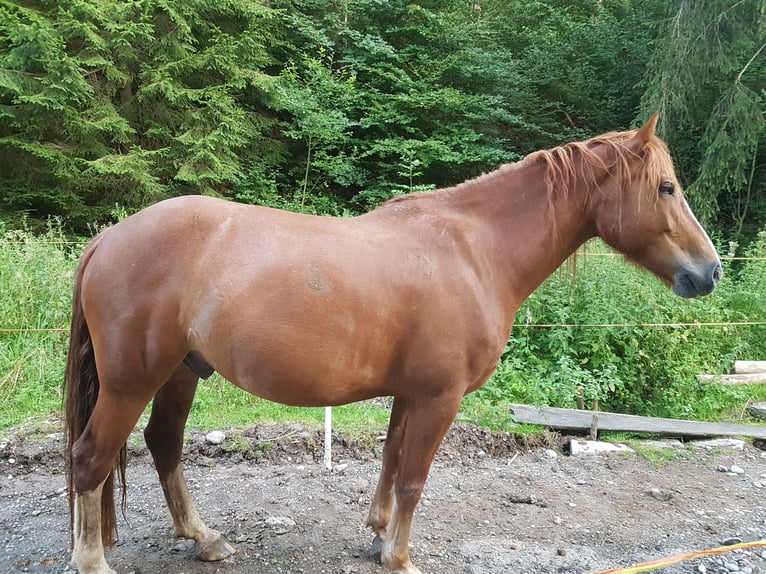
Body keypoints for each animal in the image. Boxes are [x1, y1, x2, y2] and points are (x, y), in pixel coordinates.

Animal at [64, 115, 720, 572]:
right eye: (666, 188)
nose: (710, 271)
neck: (474, 251)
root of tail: (108, 239)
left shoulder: (411, 394)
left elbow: (391, 461)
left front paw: (379, 535)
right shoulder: (439, 398)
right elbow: (413, 477)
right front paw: (400, 557)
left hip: (180, 371)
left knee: (163, 444)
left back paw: (204, 539)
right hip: (132, 380)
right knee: (90, 458)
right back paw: (93, 559)